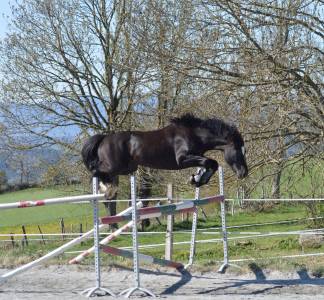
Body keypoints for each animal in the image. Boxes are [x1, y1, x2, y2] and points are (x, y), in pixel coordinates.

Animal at [82, 112, 249, 223]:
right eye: (237, 150)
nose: (243, 173)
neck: (195, 134)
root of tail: (104, 138)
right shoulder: (182, 159)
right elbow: (212, 162)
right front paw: (196, 180)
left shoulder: (196, 157)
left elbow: (210, 164)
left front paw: (196, 179)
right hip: (115, 166)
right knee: (95, 170)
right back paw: (104, 191)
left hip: (127, 168)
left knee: (104, 178)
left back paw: (106, 193)